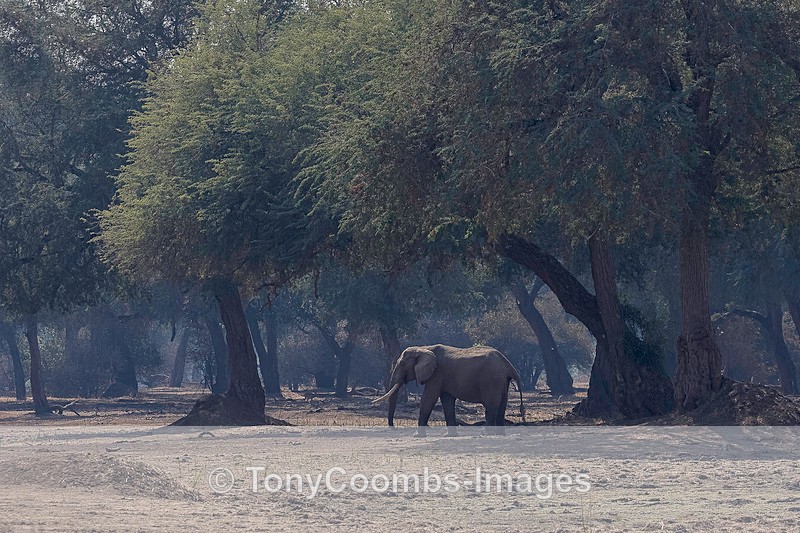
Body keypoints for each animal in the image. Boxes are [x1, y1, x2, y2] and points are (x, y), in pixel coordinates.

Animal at [373, 344, 525, 429]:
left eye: (403, 365)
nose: (393, 426)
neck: (423, 348)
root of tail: (508, 365)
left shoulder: (437, 374)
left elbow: (429, 398)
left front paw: (418, 435)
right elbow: (447, 400)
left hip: (491, 380)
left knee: (491, 408)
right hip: (502, 381)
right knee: (501, 409)